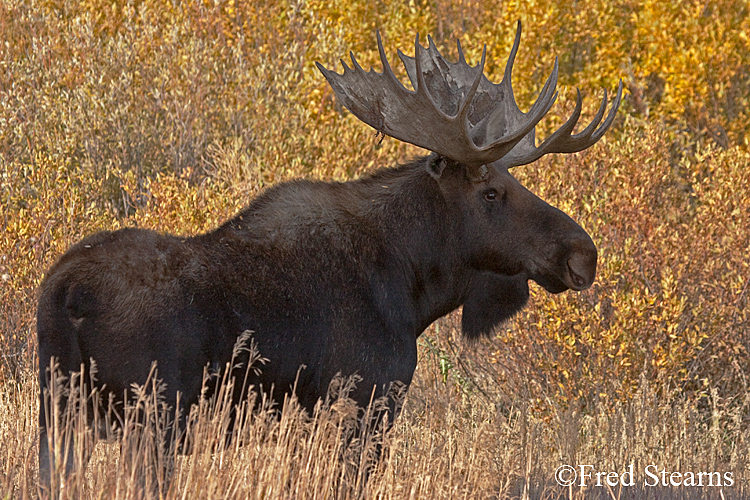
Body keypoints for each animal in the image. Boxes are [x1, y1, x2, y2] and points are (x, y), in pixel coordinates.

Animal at [37, 22, 622, 493]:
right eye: (492, 193)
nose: (583, 253)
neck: (412, 285)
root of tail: (65, 294)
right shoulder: (366, 402)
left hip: (58, 416)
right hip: (150, 419)